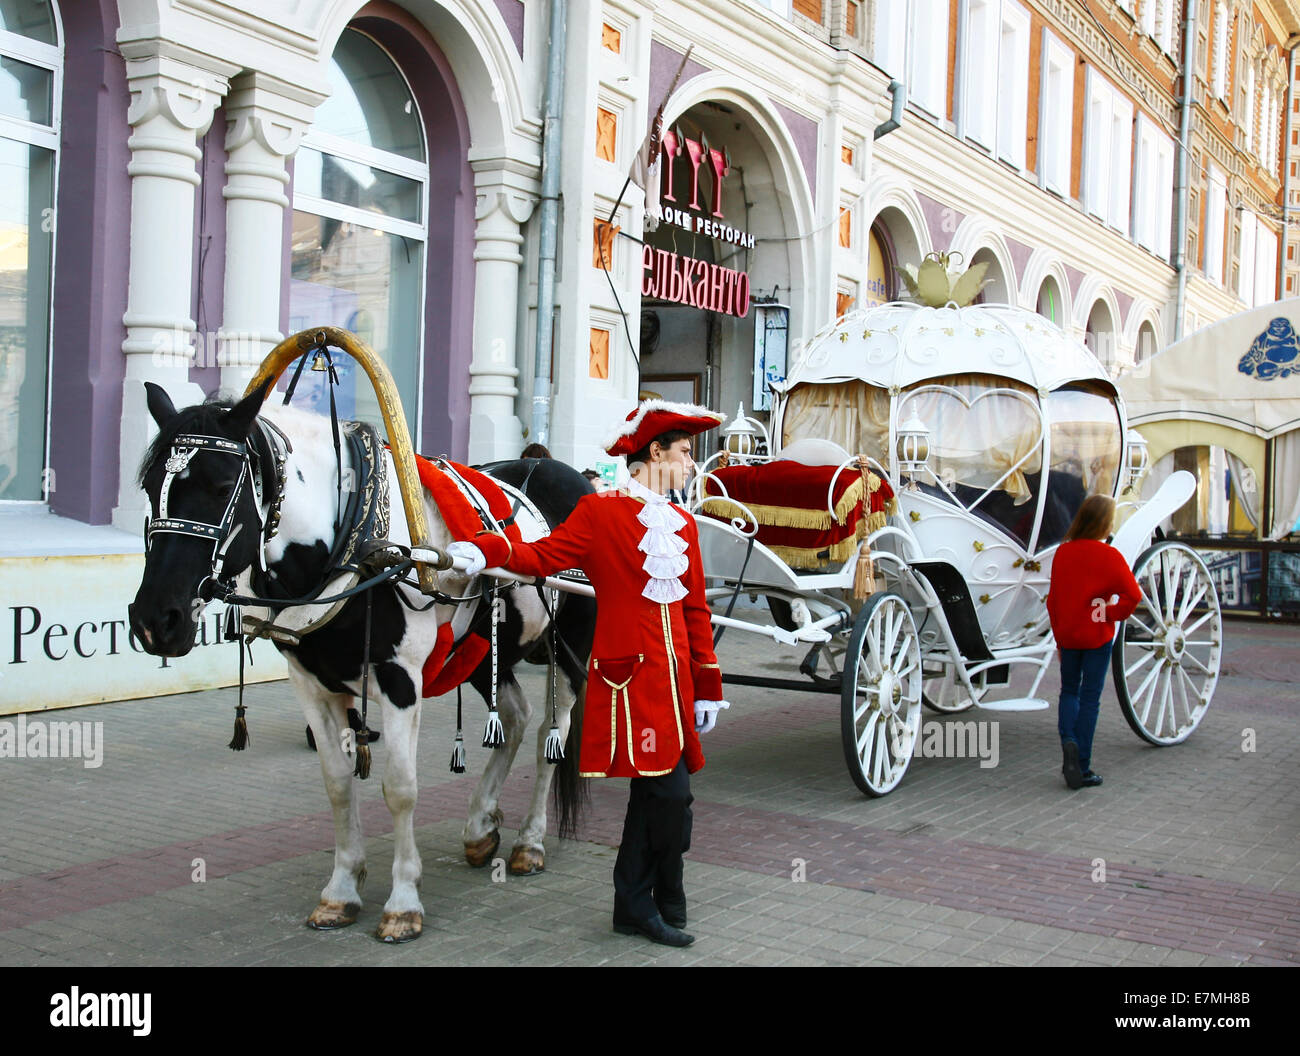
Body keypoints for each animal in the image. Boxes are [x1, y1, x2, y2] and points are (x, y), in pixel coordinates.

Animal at [126, 379, 595, 941]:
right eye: (150, 486)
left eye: (220, 487)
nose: (156, 620)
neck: (357, 539)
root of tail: (560, 470)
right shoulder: (311, 682)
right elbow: (336, 783)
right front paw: (342, 890)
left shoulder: (400, 680)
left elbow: (400, 788)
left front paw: (403, 901)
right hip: (483, 653)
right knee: (518, 718)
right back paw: (481, 825)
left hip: (569, 649)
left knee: (553, 734)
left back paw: (530, 841)